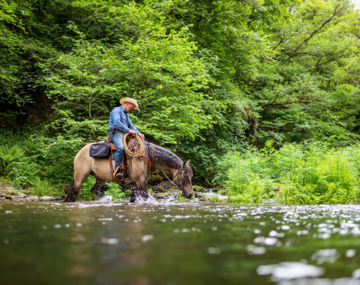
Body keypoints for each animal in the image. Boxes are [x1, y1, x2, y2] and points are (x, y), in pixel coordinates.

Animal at [64, 136, 194, 201]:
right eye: (185, 176)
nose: (191, 194)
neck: (147, 157)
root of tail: (79, 152)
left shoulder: (136, 184)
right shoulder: (141, 183)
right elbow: (146, 198)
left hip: (102, 178)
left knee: (94, 190)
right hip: (80, 177)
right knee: (74, 194)